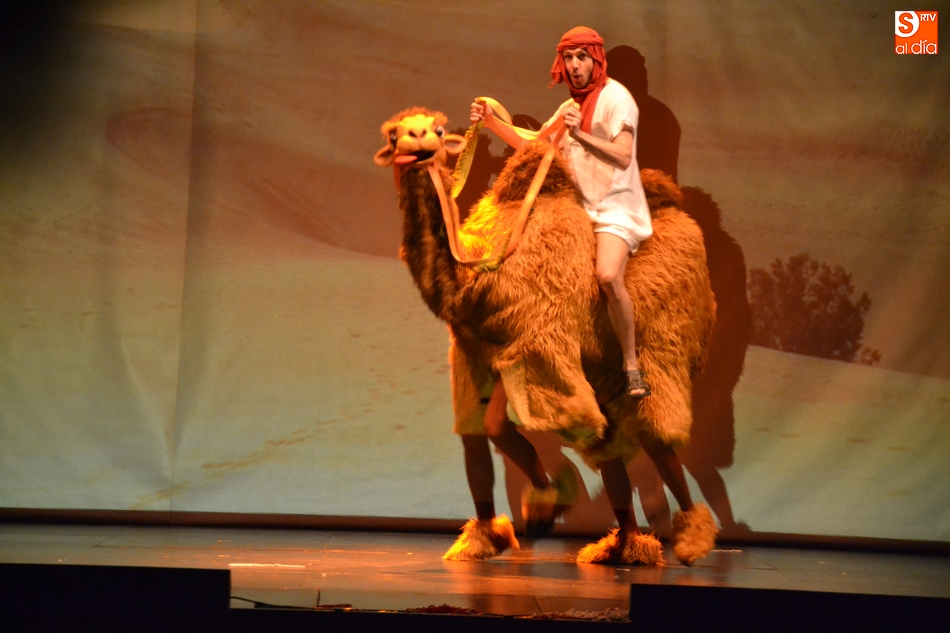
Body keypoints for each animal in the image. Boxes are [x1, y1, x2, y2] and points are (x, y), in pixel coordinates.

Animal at [374, 107, 719, 565]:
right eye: (395, 134)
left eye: (439, 129)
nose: (417, 138)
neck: (473, 279)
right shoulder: (471, 358)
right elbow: (476, 437)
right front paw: (488, 536)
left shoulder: (535, 347)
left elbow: (503, 425)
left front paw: (549, 501)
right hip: (605, 367)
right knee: (614, 447)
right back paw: (622, 545)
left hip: (663, 346)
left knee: (656, 433)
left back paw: (691, 538)